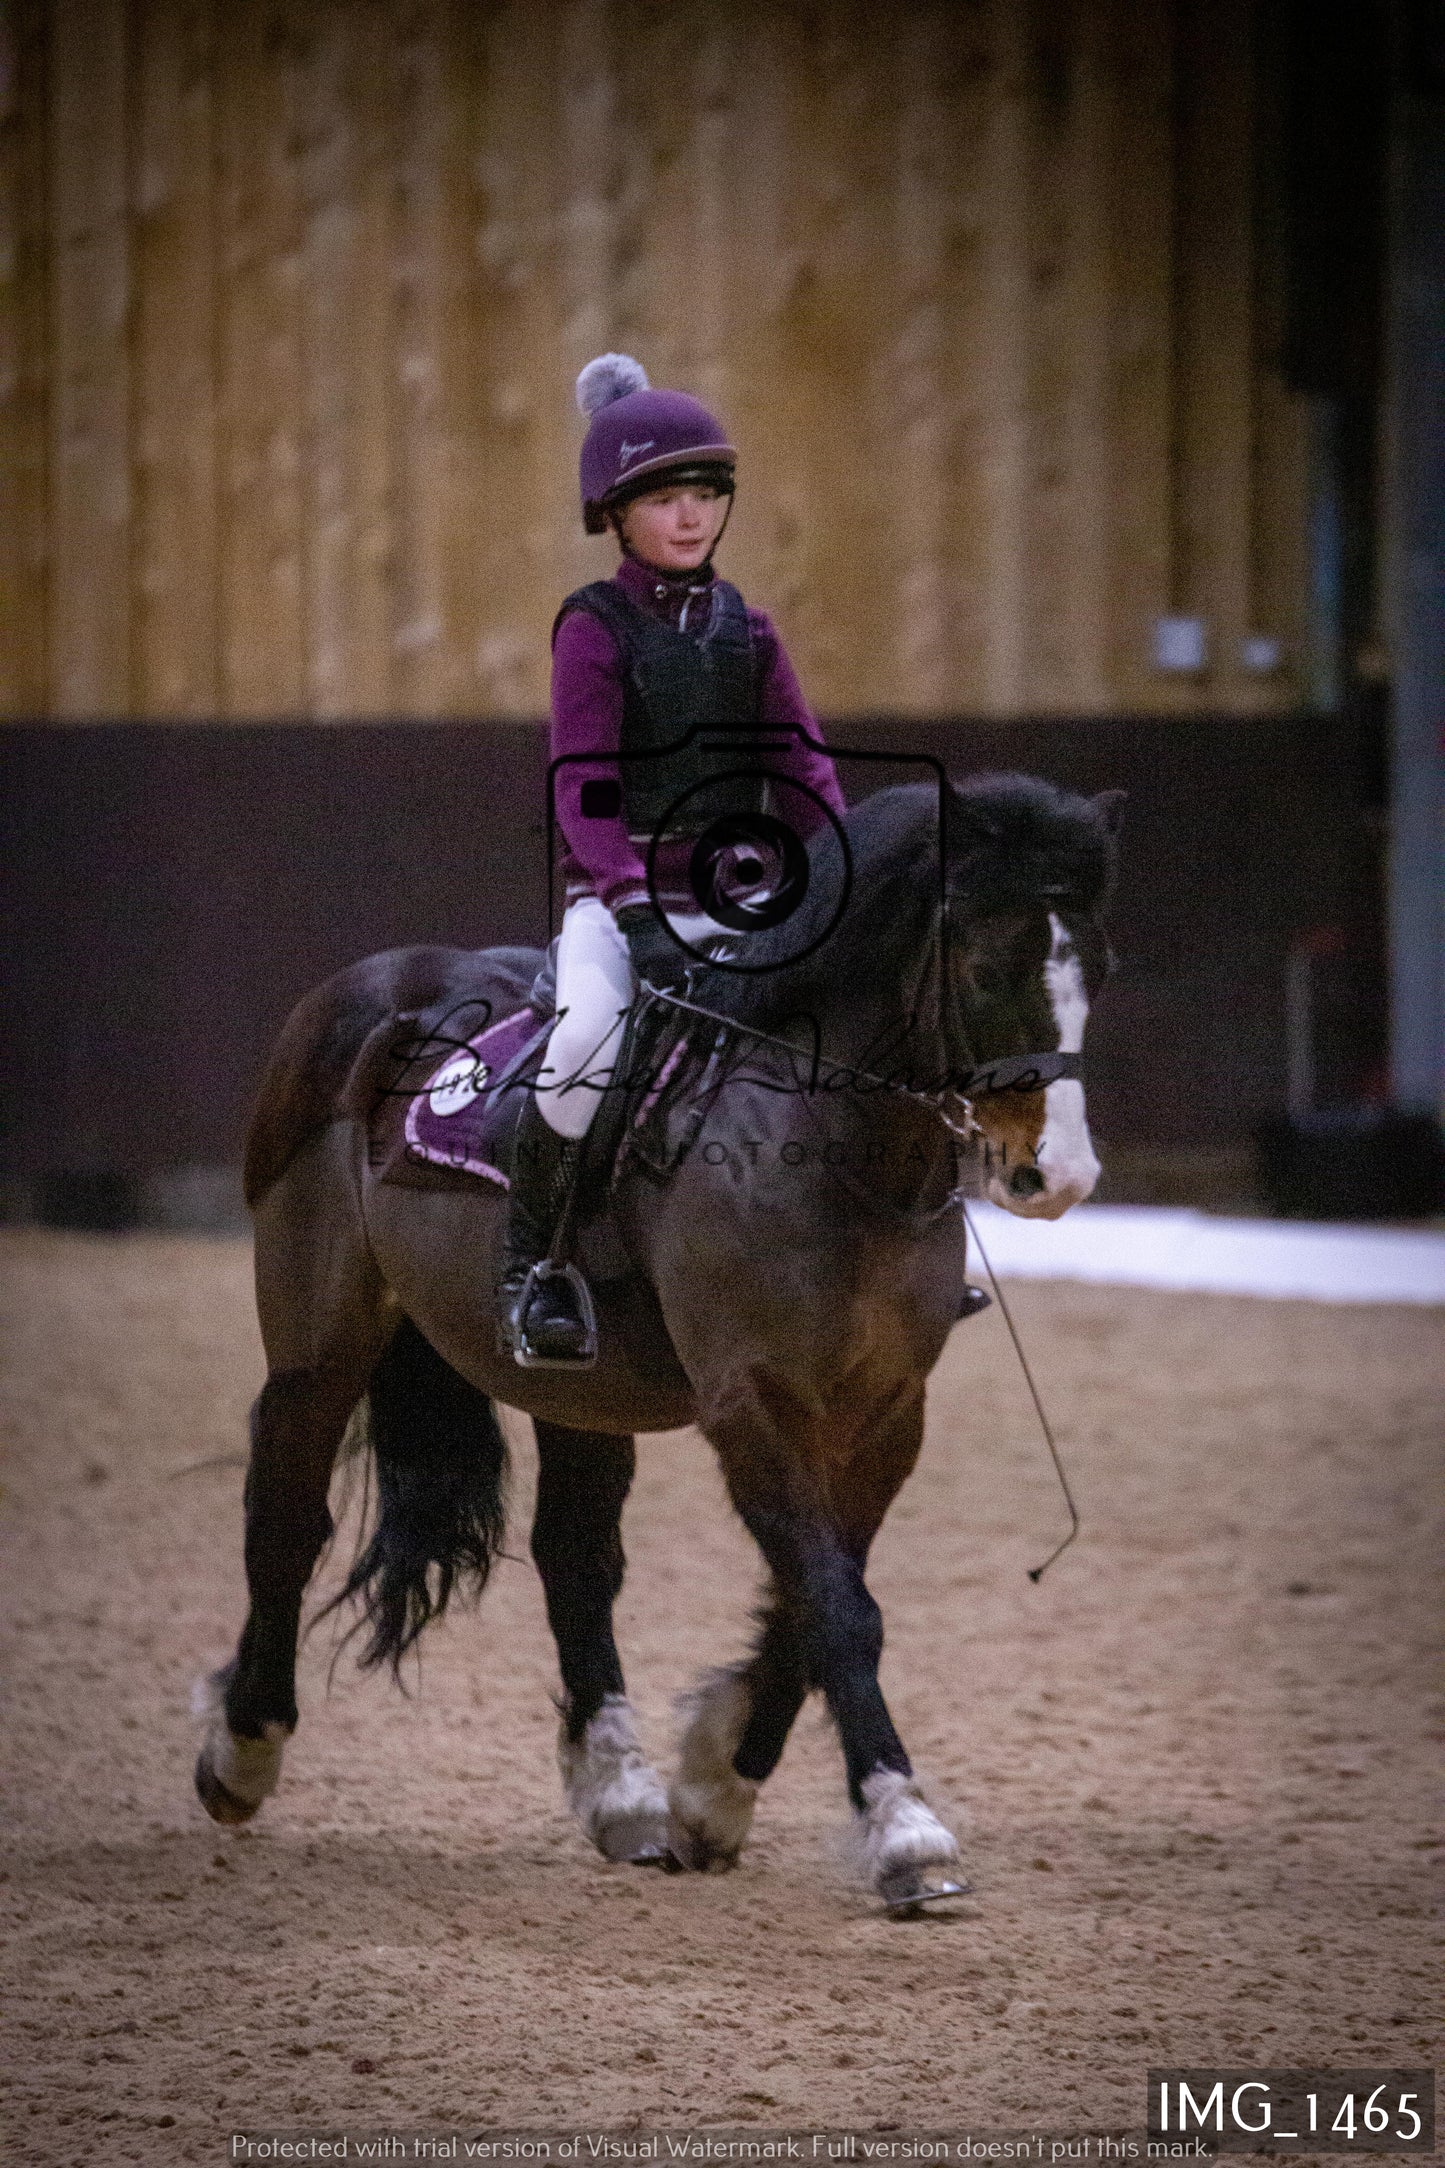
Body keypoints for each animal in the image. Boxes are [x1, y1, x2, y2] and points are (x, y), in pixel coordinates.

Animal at [194, 771, 1117, 1907]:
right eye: (986, 967)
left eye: (1099, 970)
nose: (1058, 1175)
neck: (840, 1153)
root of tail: (367, 990)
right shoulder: (752, 1397)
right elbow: (836, 1605)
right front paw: (904, 1830)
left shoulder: (887, 1410)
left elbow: (819, 1599)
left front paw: (713, 1786)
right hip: (320, 1344)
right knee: (285, 1509)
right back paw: (240, 1751)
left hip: (579, 1391)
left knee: (575, 1557)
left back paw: (621, 1794)